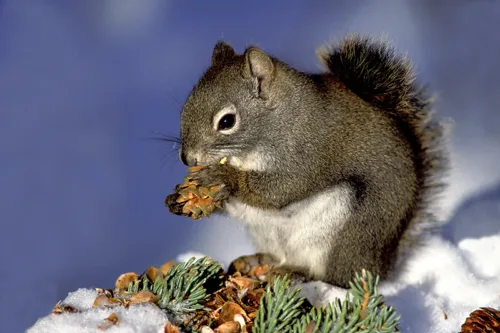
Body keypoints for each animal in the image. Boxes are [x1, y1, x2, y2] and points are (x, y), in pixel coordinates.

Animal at [176, 34, 446, 288]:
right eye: (185, 107)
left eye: (227, 121)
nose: (188, 158)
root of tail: (379, 267)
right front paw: (178, 198)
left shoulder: (308, 154)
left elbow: (279, 190)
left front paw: (224, 177)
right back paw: (257, 261)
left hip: (343, 234)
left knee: (333, 278)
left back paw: (295, 272)